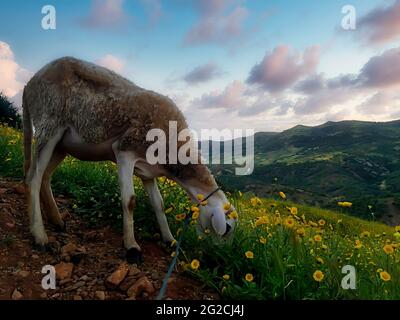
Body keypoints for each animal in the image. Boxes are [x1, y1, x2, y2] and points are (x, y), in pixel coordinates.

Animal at [23, 57, 236, 262]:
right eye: (227, 228)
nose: (217, 255)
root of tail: (29, 84)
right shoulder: (124, 151)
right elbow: (129, 201)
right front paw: (132, 247)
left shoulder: (148, 172)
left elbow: (159, 205)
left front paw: (170, 240)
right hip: (49, 124)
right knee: (33, 178)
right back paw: (40, 235)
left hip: (62, 145)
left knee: (45, 177)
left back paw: (56, 221)